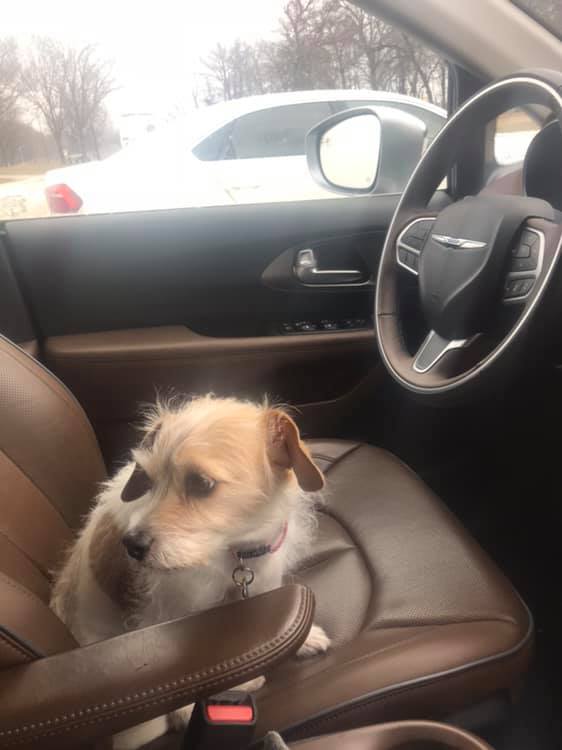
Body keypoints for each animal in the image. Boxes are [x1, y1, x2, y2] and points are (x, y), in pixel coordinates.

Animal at [51, 395, 331, 749]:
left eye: (201, 483)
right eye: (148, 479)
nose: (132, 545)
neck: (232, 551)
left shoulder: (264, 580)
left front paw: (305, 637)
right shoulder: (169, 612)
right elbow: (175, 660)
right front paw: (186, 709)